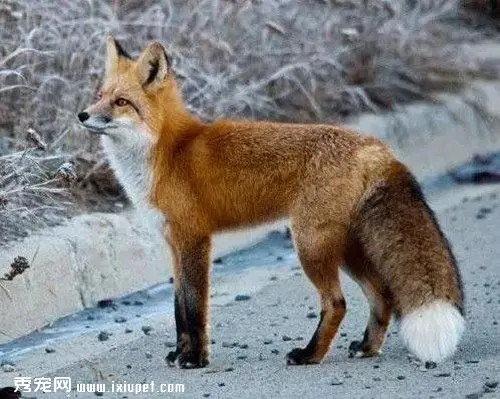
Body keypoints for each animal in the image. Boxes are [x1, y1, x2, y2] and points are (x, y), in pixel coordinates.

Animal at [78, 37, 464, 368]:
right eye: (99, 95)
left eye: (121, 102)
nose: (82, 115)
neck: (166, 152)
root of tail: (375, 145)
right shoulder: (174, 244)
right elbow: (178, 310)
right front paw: (179, 354)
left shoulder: (194, 239)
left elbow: (194, 307)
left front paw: (195, 359)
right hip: (347, 248)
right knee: (382, 295)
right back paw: (367, 347)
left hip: (310, 244)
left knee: (336, 304)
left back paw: (309, 355)